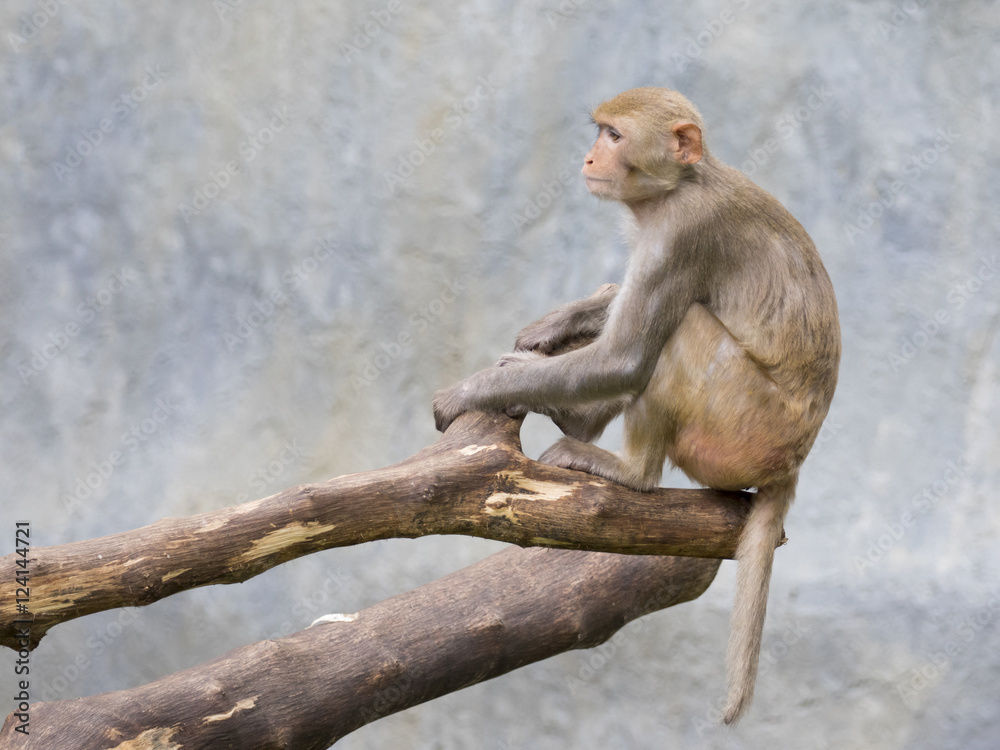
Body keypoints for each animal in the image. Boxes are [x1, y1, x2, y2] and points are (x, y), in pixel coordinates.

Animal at [433, 87, 840, 723]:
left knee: (682, 328)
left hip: (744, 427)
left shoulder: (682, 234)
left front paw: (466, 391)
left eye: (615, 136)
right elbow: (616, 314)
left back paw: (627, 469)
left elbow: (623, 357)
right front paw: (557, 322)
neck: (677, 187)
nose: (588, 157)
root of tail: (792, 464)